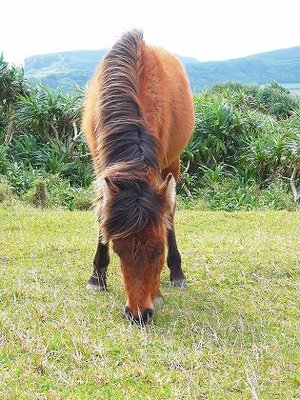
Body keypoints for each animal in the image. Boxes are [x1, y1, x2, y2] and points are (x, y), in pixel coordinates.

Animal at [82, 29, 195, 324]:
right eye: (118, 249)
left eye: (158, 250)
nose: (138, 314)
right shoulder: (100, 165)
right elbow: (102, 214)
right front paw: (97, 276)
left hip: (173, 162)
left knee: (171, 213)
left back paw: (177, 273)